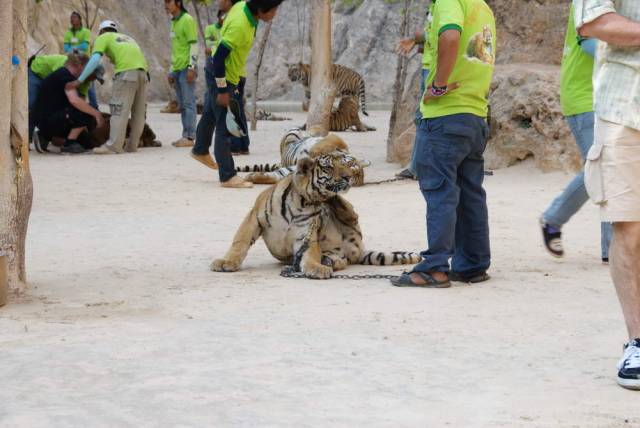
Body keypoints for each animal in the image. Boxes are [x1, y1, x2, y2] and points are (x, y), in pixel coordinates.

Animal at [210, 135, 420, 280]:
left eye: (346, 165)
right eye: (328, 167)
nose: (347, 178)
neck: (304, 202)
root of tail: (359, 251)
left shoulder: (307, 234)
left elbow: (311, 252)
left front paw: (315, 268)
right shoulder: (254, 217)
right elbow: (240, 241)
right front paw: (226, 262)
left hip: (352, 226)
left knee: (349, 213)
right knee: (341, 256)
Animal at [236, 129, 370, 186]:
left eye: (351, 178)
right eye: (351, 165)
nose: (346, 176)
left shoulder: (292, 171)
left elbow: (275, 177)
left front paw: (251, 177)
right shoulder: (334, 139)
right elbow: (325, 145)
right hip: (293, 134)